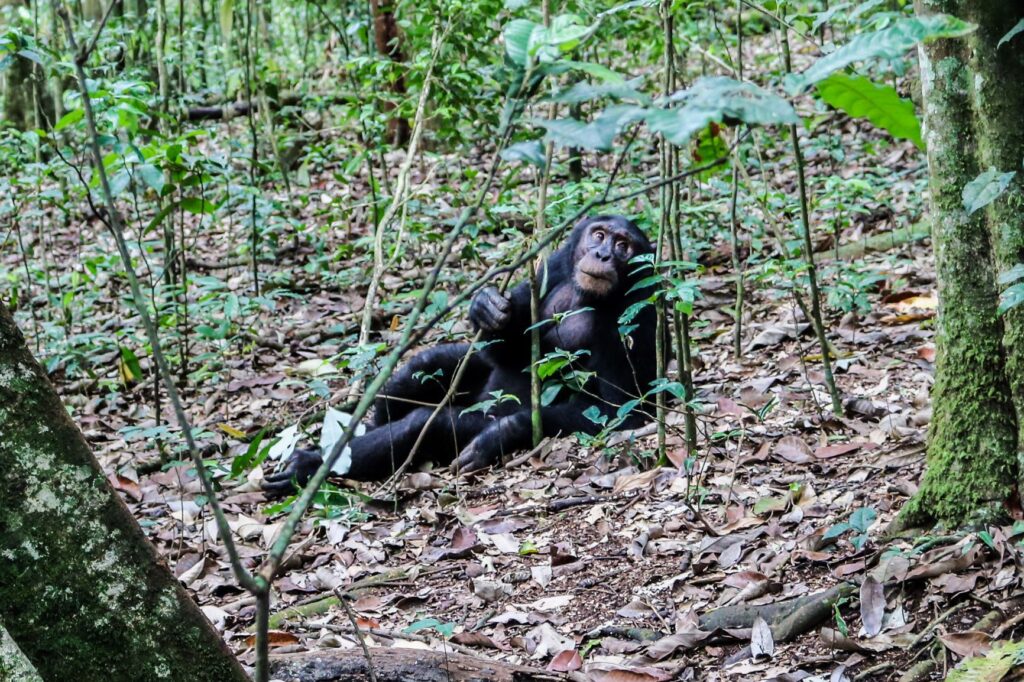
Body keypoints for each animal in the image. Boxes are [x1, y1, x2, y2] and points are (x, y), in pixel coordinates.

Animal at [264, 214, 659, 493]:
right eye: (599, 235)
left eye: (623, 245)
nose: (602, 253)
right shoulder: (554, 265)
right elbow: (510, 351)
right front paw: (486, 306)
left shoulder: (636, 317)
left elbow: (617, 413)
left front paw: (501, 434)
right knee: (425, 365)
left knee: (424, 425)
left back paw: (307, 467)